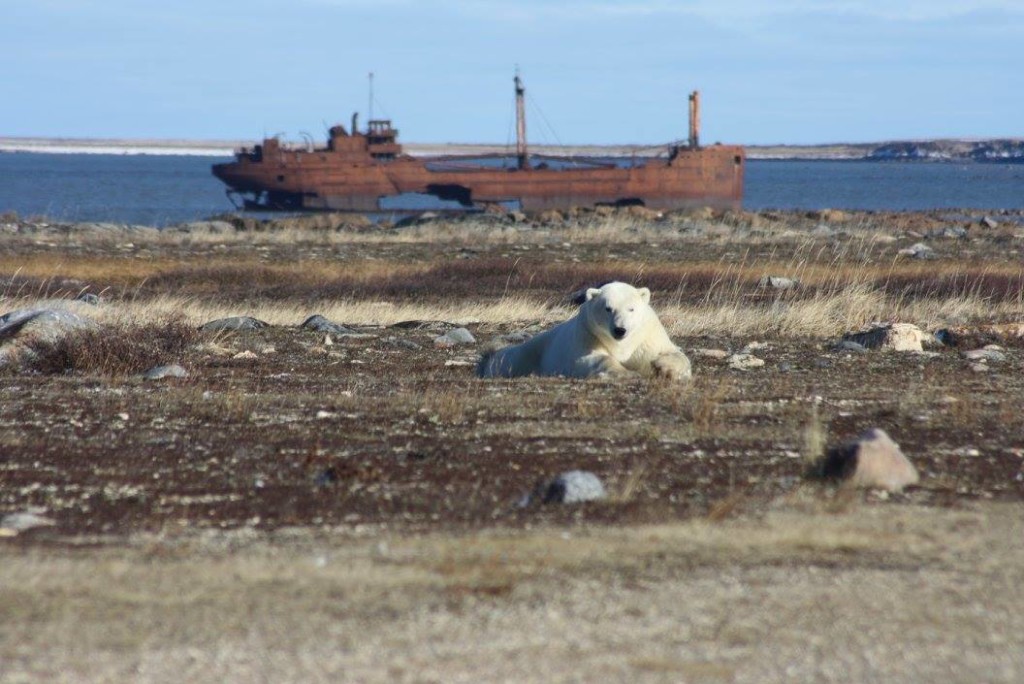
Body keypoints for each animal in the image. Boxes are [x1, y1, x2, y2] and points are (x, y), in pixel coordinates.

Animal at [477, 281, 692, 381]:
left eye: (631, 309)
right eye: (608, 308)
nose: (620, 330)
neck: (622, 345)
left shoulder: (646, 337)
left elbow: (674, 353)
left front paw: (663, 366)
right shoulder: (588, 334)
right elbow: (590, 359)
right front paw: (626, 373)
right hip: (531, 353)